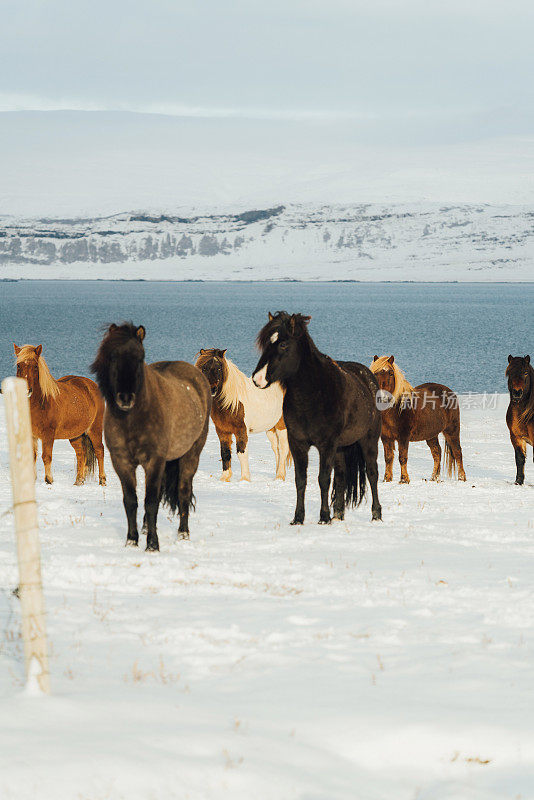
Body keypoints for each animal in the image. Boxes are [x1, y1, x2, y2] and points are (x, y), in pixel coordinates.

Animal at [12, 340, 107, 484]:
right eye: (19, 365)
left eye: (35, 366)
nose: (26, 390)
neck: (40, 403)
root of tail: (91, 385)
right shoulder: (31, 434)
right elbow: (32, 456)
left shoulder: (48, 435)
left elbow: (46, 456)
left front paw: (49, 480)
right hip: (75, 435)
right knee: (81, 453)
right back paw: (78, 481)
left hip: (94, 429)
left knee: (99, 450)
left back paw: (102, 480)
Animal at [91, 320, 210, 552]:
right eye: (113, 357)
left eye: (140, 357)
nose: (125, 398)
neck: (133, 419)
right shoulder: (122, 462)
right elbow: (131, 501)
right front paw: (132, 540)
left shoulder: (154, 461)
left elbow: (151, 501)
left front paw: (153, 545)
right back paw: (146, 527)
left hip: (191, 454)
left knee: (183, 491)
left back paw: (183, 534)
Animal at [196, 346, 292, 482]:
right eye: (204, 368)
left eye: (219, 368)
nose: (212, 390)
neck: (231, 402)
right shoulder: (222, 431)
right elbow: (225, 453)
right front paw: (225, 478)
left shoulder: (241, 430)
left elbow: (241, 453)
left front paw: (244, 479)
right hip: (270, 429)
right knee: (276, 449)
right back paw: (278, 474)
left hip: (281, 426)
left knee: (283, 449)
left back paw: (279, 476)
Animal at [253, 310, 384, 524]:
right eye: (265, 344)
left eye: (283, 344)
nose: (257, 379)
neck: (313, 395)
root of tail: (368, 378)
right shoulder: (298, 443)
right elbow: (301, 480)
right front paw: (298, 518)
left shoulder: (326, 445)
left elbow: (323, 479)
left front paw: (323, 517)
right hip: (341, 448)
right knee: (341, 476)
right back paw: (338, 515)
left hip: (369, 440)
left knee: (372, 474)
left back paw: (376, 515)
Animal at [370, 354, 466, 482]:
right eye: (376, 373)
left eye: (390, 373)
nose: (383, 396)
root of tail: (449, 391)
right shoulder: (386, 438)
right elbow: (388, 458)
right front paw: (387, 479)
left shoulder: (403, 437)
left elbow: (402, 457)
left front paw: (404, 479)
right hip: (431, 434)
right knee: (437, 452)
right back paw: (434, 477)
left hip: (452, 431)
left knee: (457, 452)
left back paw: (461, 478)